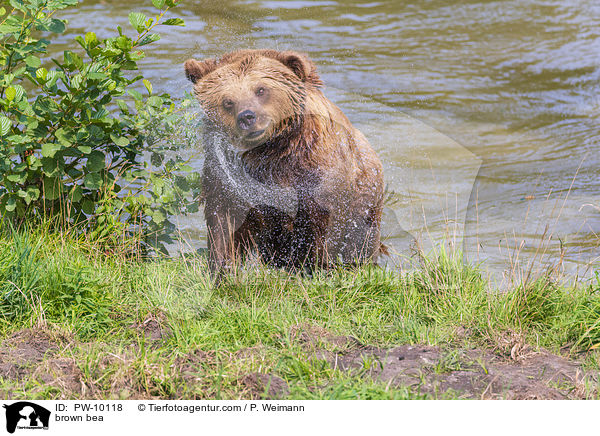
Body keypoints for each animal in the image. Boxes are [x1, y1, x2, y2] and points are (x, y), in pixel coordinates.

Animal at [183, 49, 386, 274]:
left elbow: (321, 225)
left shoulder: (313, 171)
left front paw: (318, 267)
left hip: (365, 200)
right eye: (228, 101)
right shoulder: (227, 177)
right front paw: (221, 269)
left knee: (361, 240)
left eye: (261, 90)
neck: (270, 152)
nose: (247, 117)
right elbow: (224, 222)